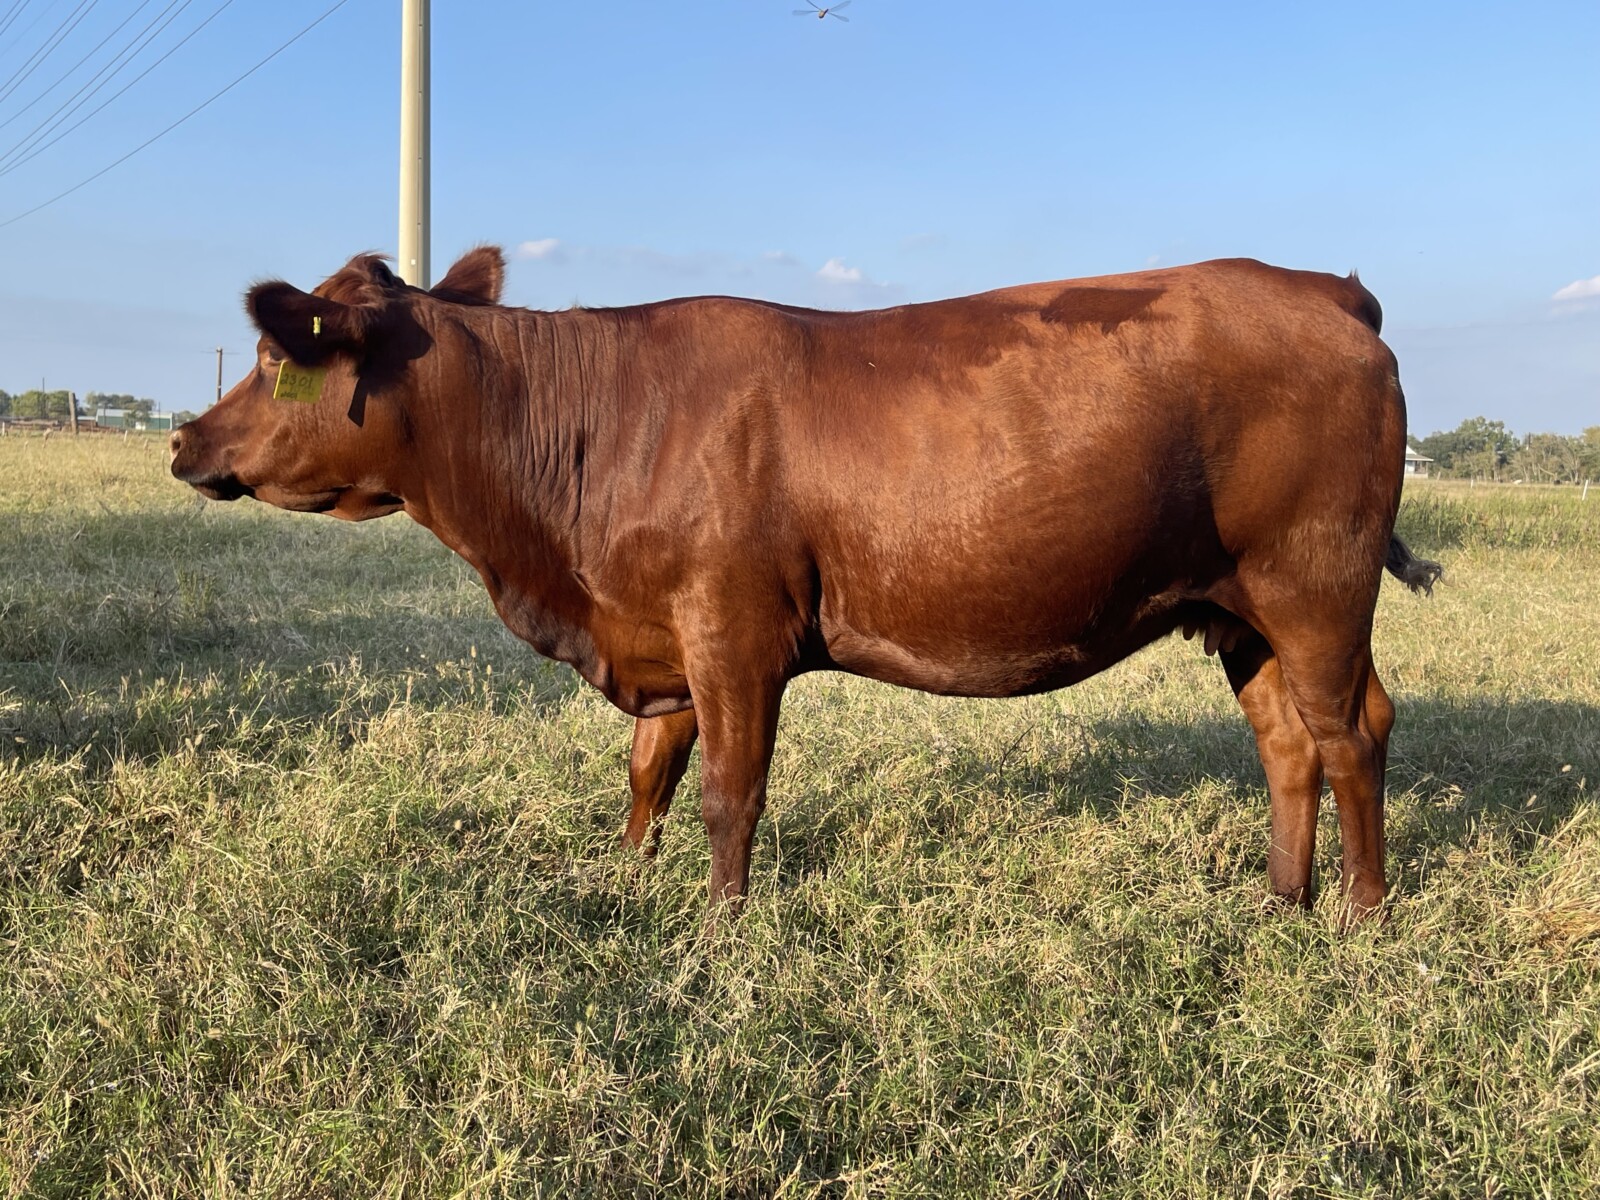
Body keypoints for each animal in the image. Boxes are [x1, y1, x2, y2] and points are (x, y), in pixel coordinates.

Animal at [170, 246, 1440, 924]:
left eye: (279, 354)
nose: (183, 441)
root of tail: (1318, 287)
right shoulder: (665, 636)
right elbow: (650, 775)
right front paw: (628, 884)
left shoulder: (732, 629)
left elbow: (730, 792)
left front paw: (720, 930)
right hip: (1234, 608)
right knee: (1286, 743)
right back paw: (1277, 900)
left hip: (1316, 585)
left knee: (1352, 732)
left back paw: (1360, 918)